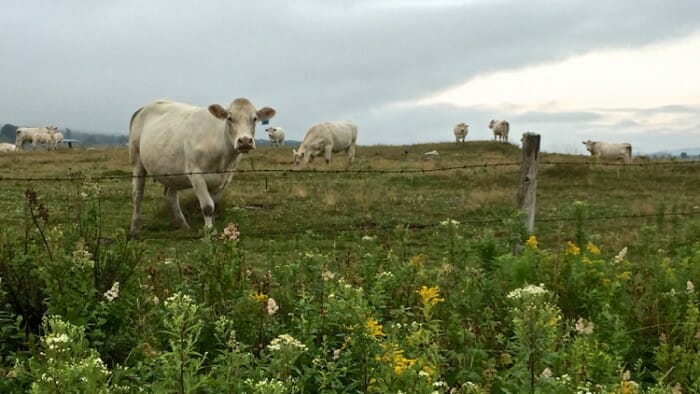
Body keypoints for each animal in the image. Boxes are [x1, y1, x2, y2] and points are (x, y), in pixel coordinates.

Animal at [129, 98, 276, 234]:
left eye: (254, 119)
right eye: (229, 118)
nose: (245, 141)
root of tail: (144, 108)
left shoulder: (227, 177)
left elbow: (214, 204)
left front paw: (213, 226)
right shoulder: (195, 174)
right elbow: (207, 206)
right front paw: (208, 229)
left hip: (171, 171)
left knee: (170, 195)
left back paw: (183, 225)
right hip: (137, 161)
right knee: (137, 194)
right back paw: (135, 227)